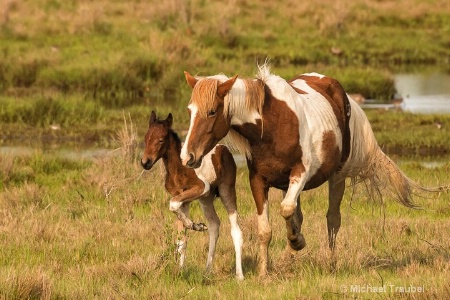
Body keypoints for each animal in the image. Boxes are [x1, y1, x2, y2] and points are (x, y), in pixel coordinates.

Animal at [142, 111, 244, 280]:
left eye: (161, 139)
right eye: (145, 138)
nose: (145, 162)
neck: (179, 168)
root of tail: (224, 149)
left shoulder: (201, 187)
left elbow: (173, 204)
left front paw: (193, 225)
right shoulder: (183, 197)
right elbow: (181, 240)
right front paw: (180, 271)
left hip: (226, 190)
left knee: (235, 230)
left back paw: (239, 275)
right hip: (206, 199)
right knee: (214, 225)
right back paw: (207, 271)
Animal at [180, 63, 446, 276]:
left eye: (212, 111)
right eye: (190, 110)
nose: (187, 156)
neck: (271, 125)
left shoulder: (301, 173)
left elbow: (287, 210)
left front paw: (296, 242)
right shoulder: (258, 181)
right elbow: (266, 229)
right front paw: (266, 272)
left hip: (337, 176)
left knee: (332, 219)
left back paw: (330, 262)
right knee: (299, 215)